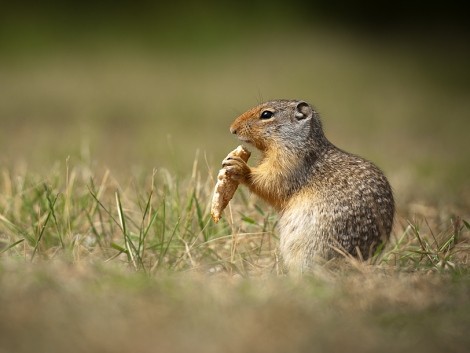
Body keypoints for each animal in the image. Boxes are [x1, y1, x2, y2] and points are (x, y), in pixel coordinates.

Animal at [222, 99, 394, 272]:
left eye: (266, 114)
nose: (232, 129)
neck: (301, 143)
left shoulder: (289, 163)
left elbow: (270, 182)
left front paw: (240, 166)